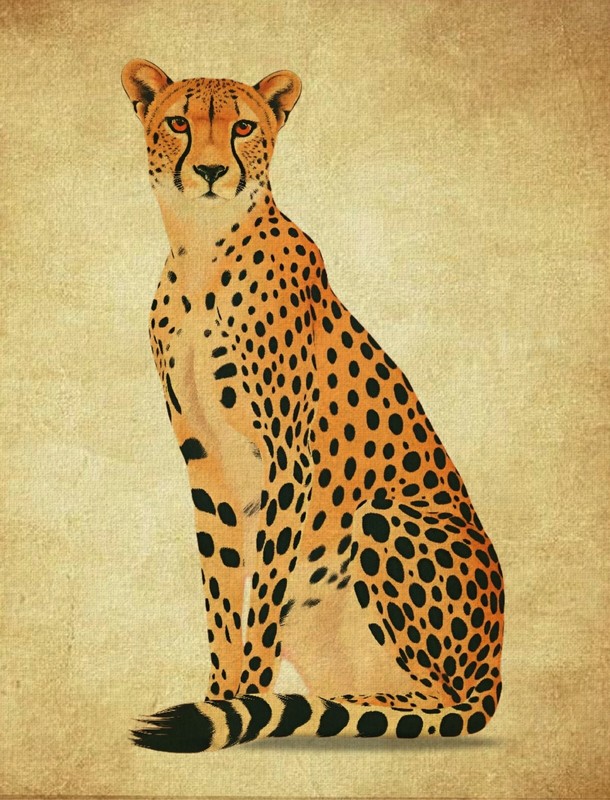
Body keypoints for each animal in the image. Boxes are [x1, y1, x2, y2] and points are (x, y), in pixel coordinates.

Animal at [121, 59, 504, 752]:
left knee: (439, 701)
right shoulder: (205, 459)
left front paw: (244, 702)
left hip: (385, 515)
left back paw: (344, 707)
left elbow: (263, 595)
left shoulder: (288, 465)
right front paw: (221, 695)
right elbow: (224, 587)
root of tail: (494, 667)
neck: (202, 251)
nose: (212, 172)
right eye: (179, 122)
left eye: (244, 126)